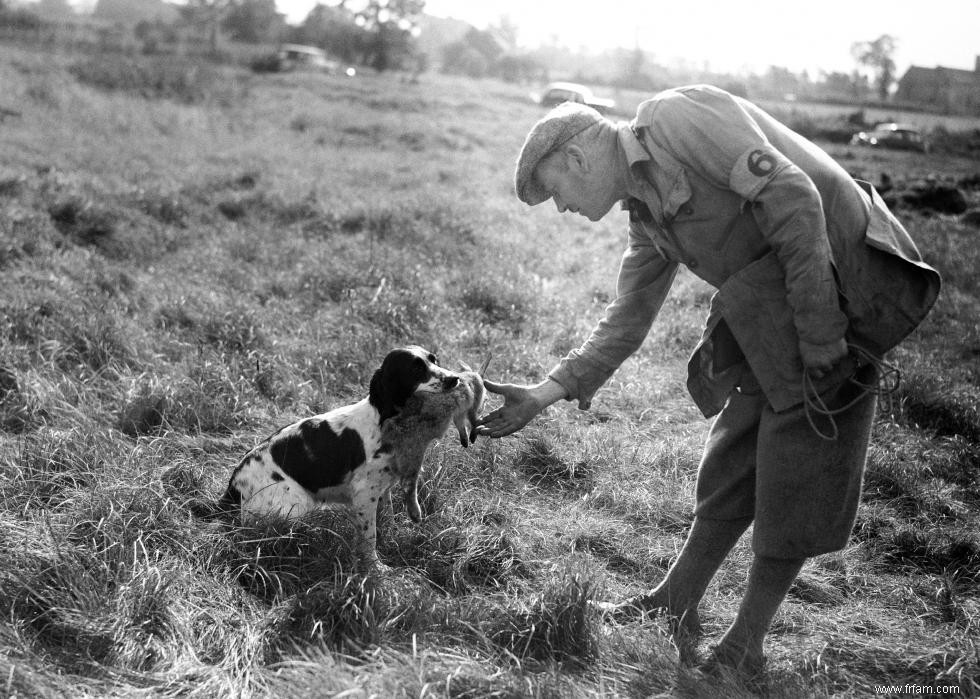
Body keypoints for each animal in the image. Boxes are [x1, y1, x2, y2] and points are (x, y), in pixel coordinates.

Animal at [219, 348, 486, 572]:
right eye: (415, 369)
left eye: (434, 360)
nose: (454, 379)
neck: (384, 423)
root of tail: (234, 486)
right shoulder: (364, 495)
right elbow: (370, 537)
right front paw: (377, 569)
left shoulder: (382, 489)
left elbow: (387, 519)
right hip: (296, 506)